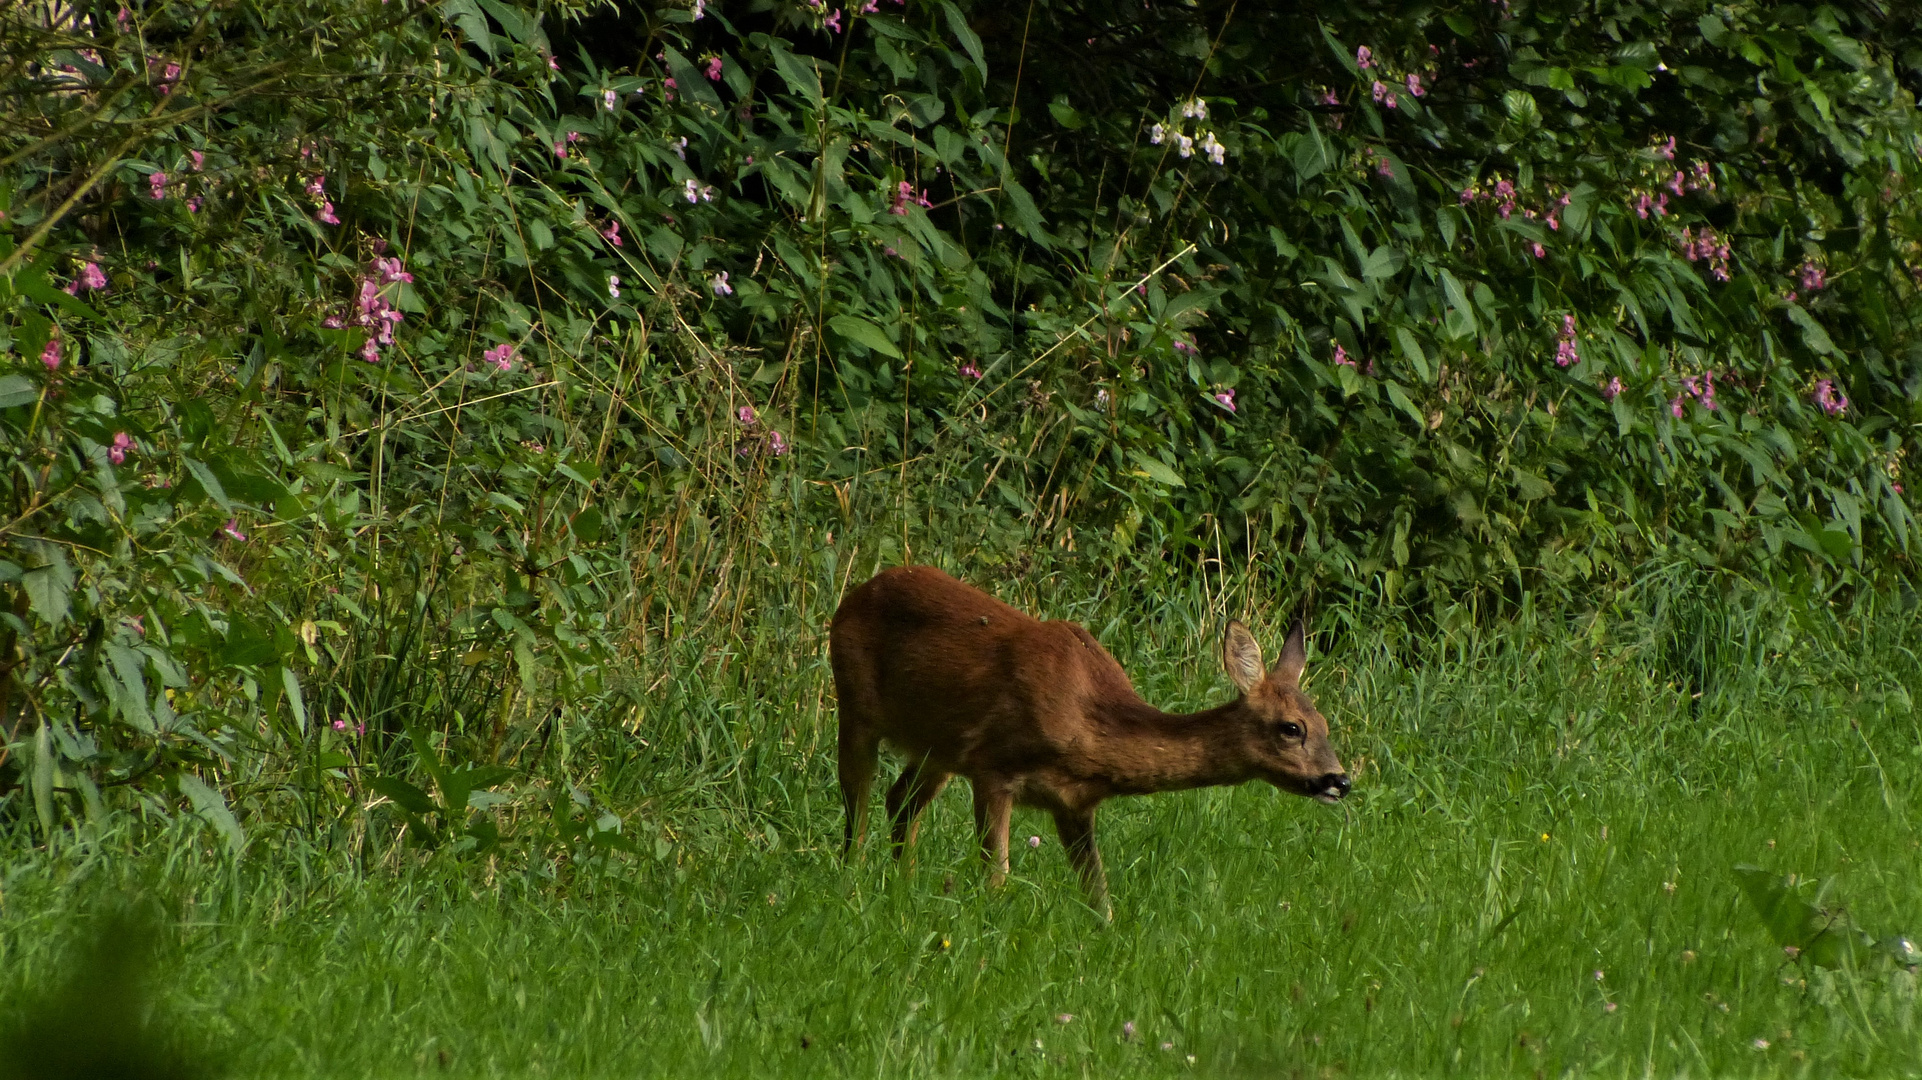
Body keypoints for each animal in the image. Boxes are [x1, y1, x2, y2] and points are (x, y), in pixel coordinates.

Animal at [830, 564, 1353, 914]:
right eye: (1292, 728)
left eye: (1326, 725)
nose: (1340, 780)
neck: (1089, 729)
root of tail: (857, 592)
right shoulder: (992, 767)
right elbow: (997, 875)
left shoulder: (1074, 804)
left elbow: (1099, 895)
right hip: (855, 706)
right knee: (858, 802)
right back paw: (851, 883)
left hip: (936, 748)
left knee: (900, 801)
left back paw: (902, 887)